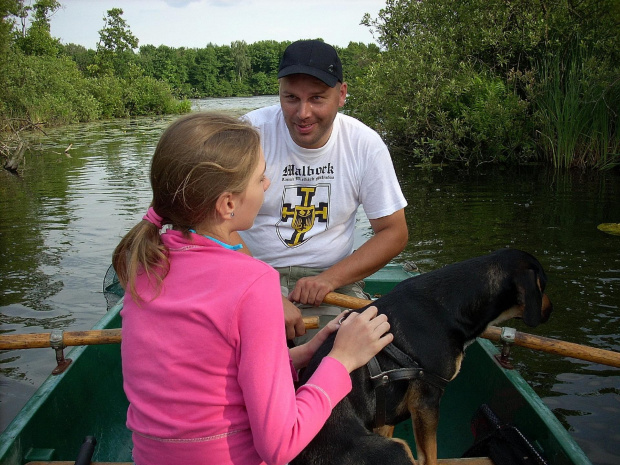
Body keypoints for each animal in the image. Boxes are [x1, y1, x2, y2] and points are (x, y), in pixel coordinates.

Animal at [294, 248, 556, 464]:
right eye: (543, 286)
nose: (551, 309)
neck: (451, 306)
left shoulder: (389, 409)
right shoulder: (426, 398)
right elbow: (430, 455)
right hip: (396, 450)